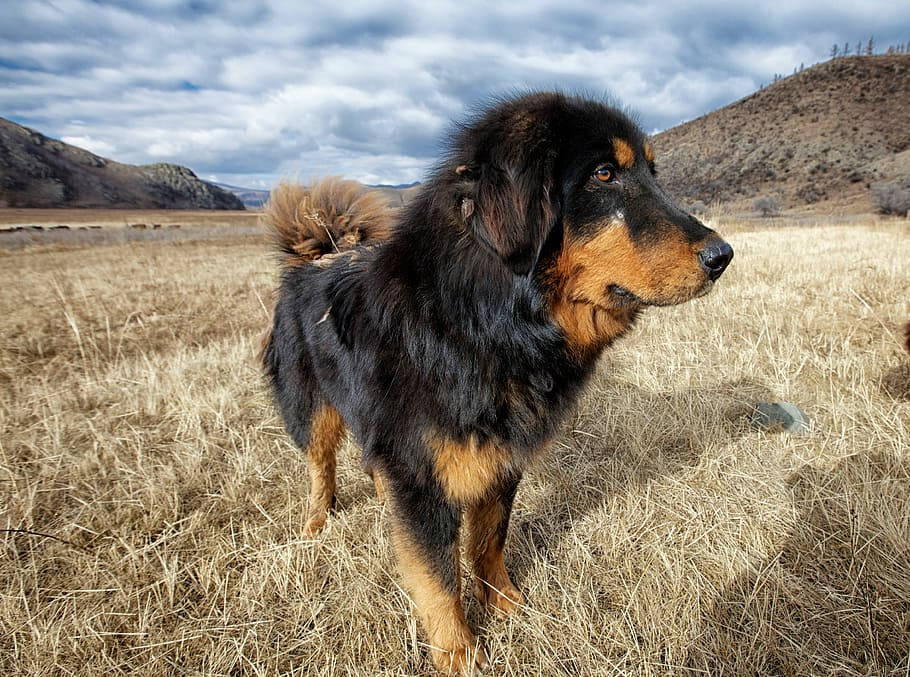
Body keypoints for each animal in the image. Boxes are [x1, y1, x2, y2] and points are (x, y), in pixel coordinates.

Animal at [256, 92, 732, 672]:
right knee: (320, 468)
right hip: (314, 408)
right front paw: (458, 651)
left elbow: (488, 540)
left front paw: (504, 603)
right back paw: (315, 524)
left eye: (651, 172)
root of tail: (316, 252)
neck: (479, 320)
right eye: (604, 173)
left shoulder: (500, 457)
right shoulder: (422, 474)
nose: (723, 256)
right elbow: (438, 575)